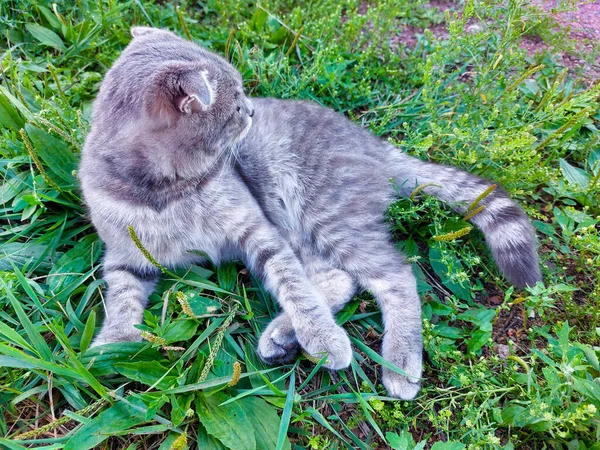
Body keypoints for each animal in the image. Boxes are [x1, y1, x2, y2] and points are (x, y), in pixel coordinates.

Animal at [77, 25, 540, 398]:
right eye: (235, 104)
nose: (251, 110)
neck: (165, 191)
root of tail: (377, 146)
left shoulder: (259, 231)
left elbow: (295, 286)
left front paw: (320, 335)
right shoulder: (126, 256)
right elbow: (121, 298)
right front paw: (110, 346)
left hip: (321, 213)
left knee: (395, 276)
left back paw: (398, 361)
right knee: (338, 279)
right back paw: (283, 335)